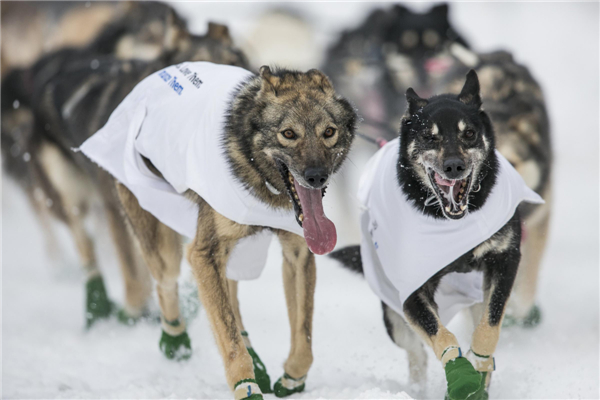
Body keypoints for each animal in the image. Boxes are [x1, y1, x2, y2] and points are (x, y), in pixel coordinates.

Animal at [332, 70, 544, 398]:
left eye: (469, 133)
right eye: (429, 136)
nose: (454, 166)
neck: (451, 222)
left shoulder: (504, 261)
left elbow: (489, 328)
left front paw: (478, 366)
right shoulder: (411, 293)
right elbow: (442, 338)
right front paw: (461, 374)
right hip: (393, 315)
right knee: (415, 352)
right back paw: (417, 389)